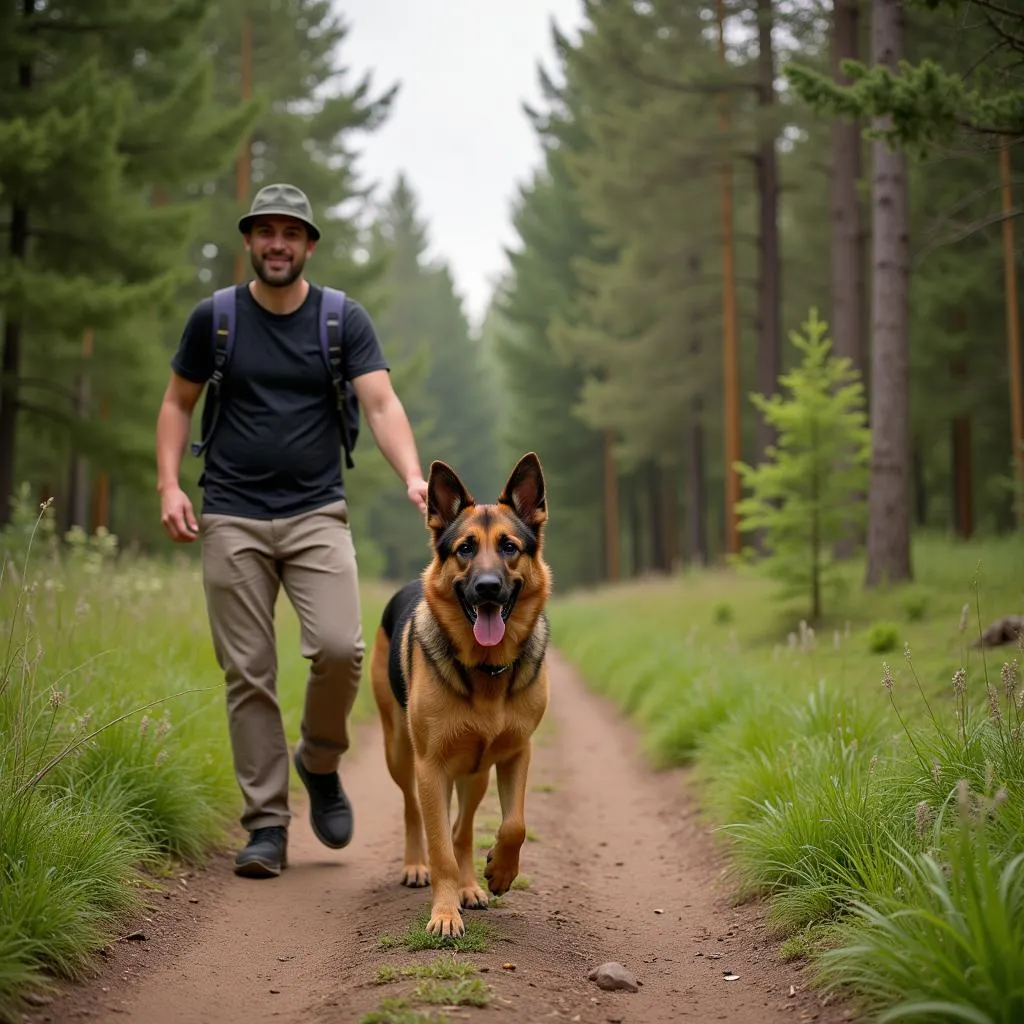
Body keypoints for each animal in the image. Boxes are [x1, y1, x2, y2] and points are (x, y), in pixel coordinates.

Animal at [370, 450, 552, 937]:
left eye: (509, 547)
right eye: (465, 549)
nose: (487, 588)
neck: (486, 669)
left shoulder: (516, 753)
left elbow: (514, 824)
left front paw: (500, 873)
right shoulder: (431, 766)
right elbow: (440, 848)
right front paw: (444, 913)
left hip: (476, 772)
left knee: (463, 829)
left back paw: (472, 885)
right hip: (400, 752)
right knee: (414, 811)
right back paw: (417, 867)